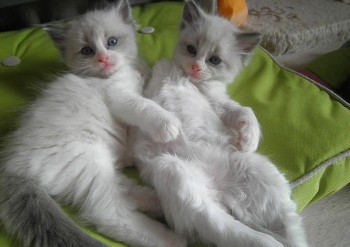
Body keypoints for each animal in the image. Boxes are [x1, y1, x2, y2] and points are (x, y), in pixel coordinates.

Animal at [0, 0, 186, 247]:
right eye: (87, 51)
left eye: (112, 42)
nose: (103, 59)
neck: (107, 76)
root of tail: (12, 166)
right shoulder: (119, 96)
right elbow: (144, 105)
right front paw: (168, 125)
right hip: (89, 160)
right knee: (111, 214)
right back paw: (169, 237)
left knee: (124, 191)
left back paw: (154, 199)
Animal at [133, 0, 308, 246]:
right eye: (191, 50)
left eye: (214, 60)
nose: (196, 67)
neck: (192, 81)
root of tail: (220, 191)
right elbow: (146, 96)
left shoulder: (219, 103)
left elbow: (246, 111)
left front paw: (247, 141)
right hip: (174, 170)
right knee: (218, 223)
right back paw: (264, 241)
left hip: (259, 172)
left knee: (287, 230)